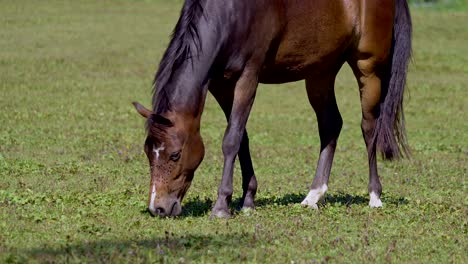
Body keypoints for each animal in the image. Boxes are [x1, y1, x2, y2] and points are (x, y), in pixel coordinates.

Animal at [132, 0, 410, 218]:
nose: (158, 208)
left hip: (368, 69)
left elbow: (231, 140)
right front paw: (247, 201)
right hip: (321, 71)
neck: (232, 12)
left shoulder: (248, 76)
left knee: (369, 127)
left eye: (175, 155)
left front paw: (221, 206)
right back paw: (313, 196)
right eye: (147, 152)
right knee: (331, 125)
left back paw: (374, 197)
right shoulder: (221, 85)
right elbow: (241, 138)